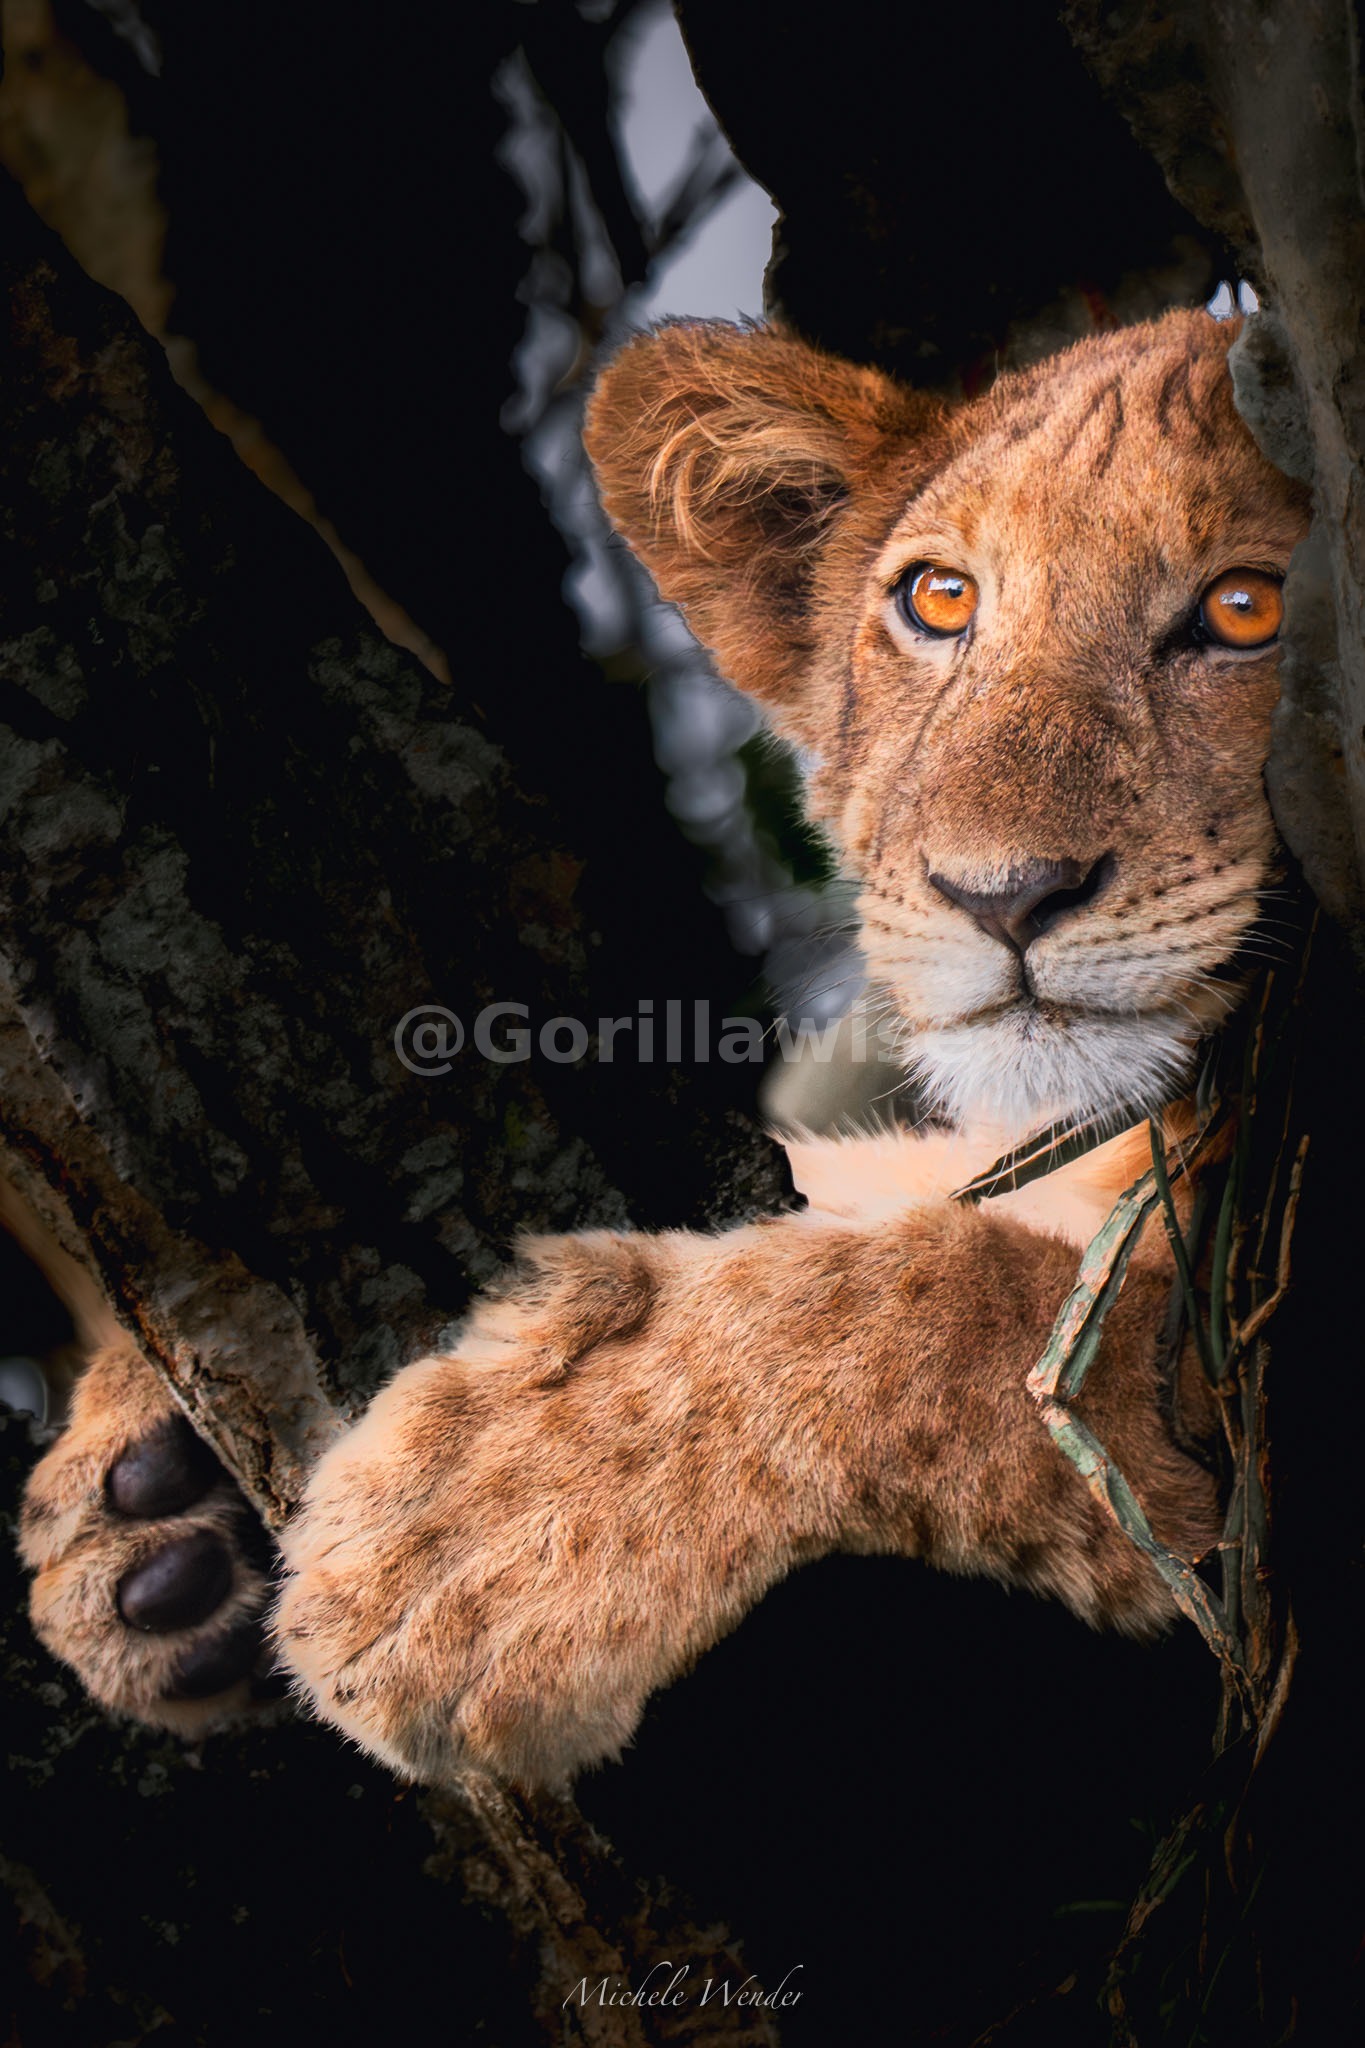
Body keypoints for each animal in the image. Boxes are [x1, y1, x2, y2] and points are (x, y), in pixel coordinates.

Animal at [17, 308, 1308, 1789]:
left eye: (1251, 606)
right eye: (940, 601)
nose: (1001, 896)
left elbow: (943, 1311)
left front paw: (492, 1532)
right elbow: (893, 1211)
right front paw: (149, 1503)